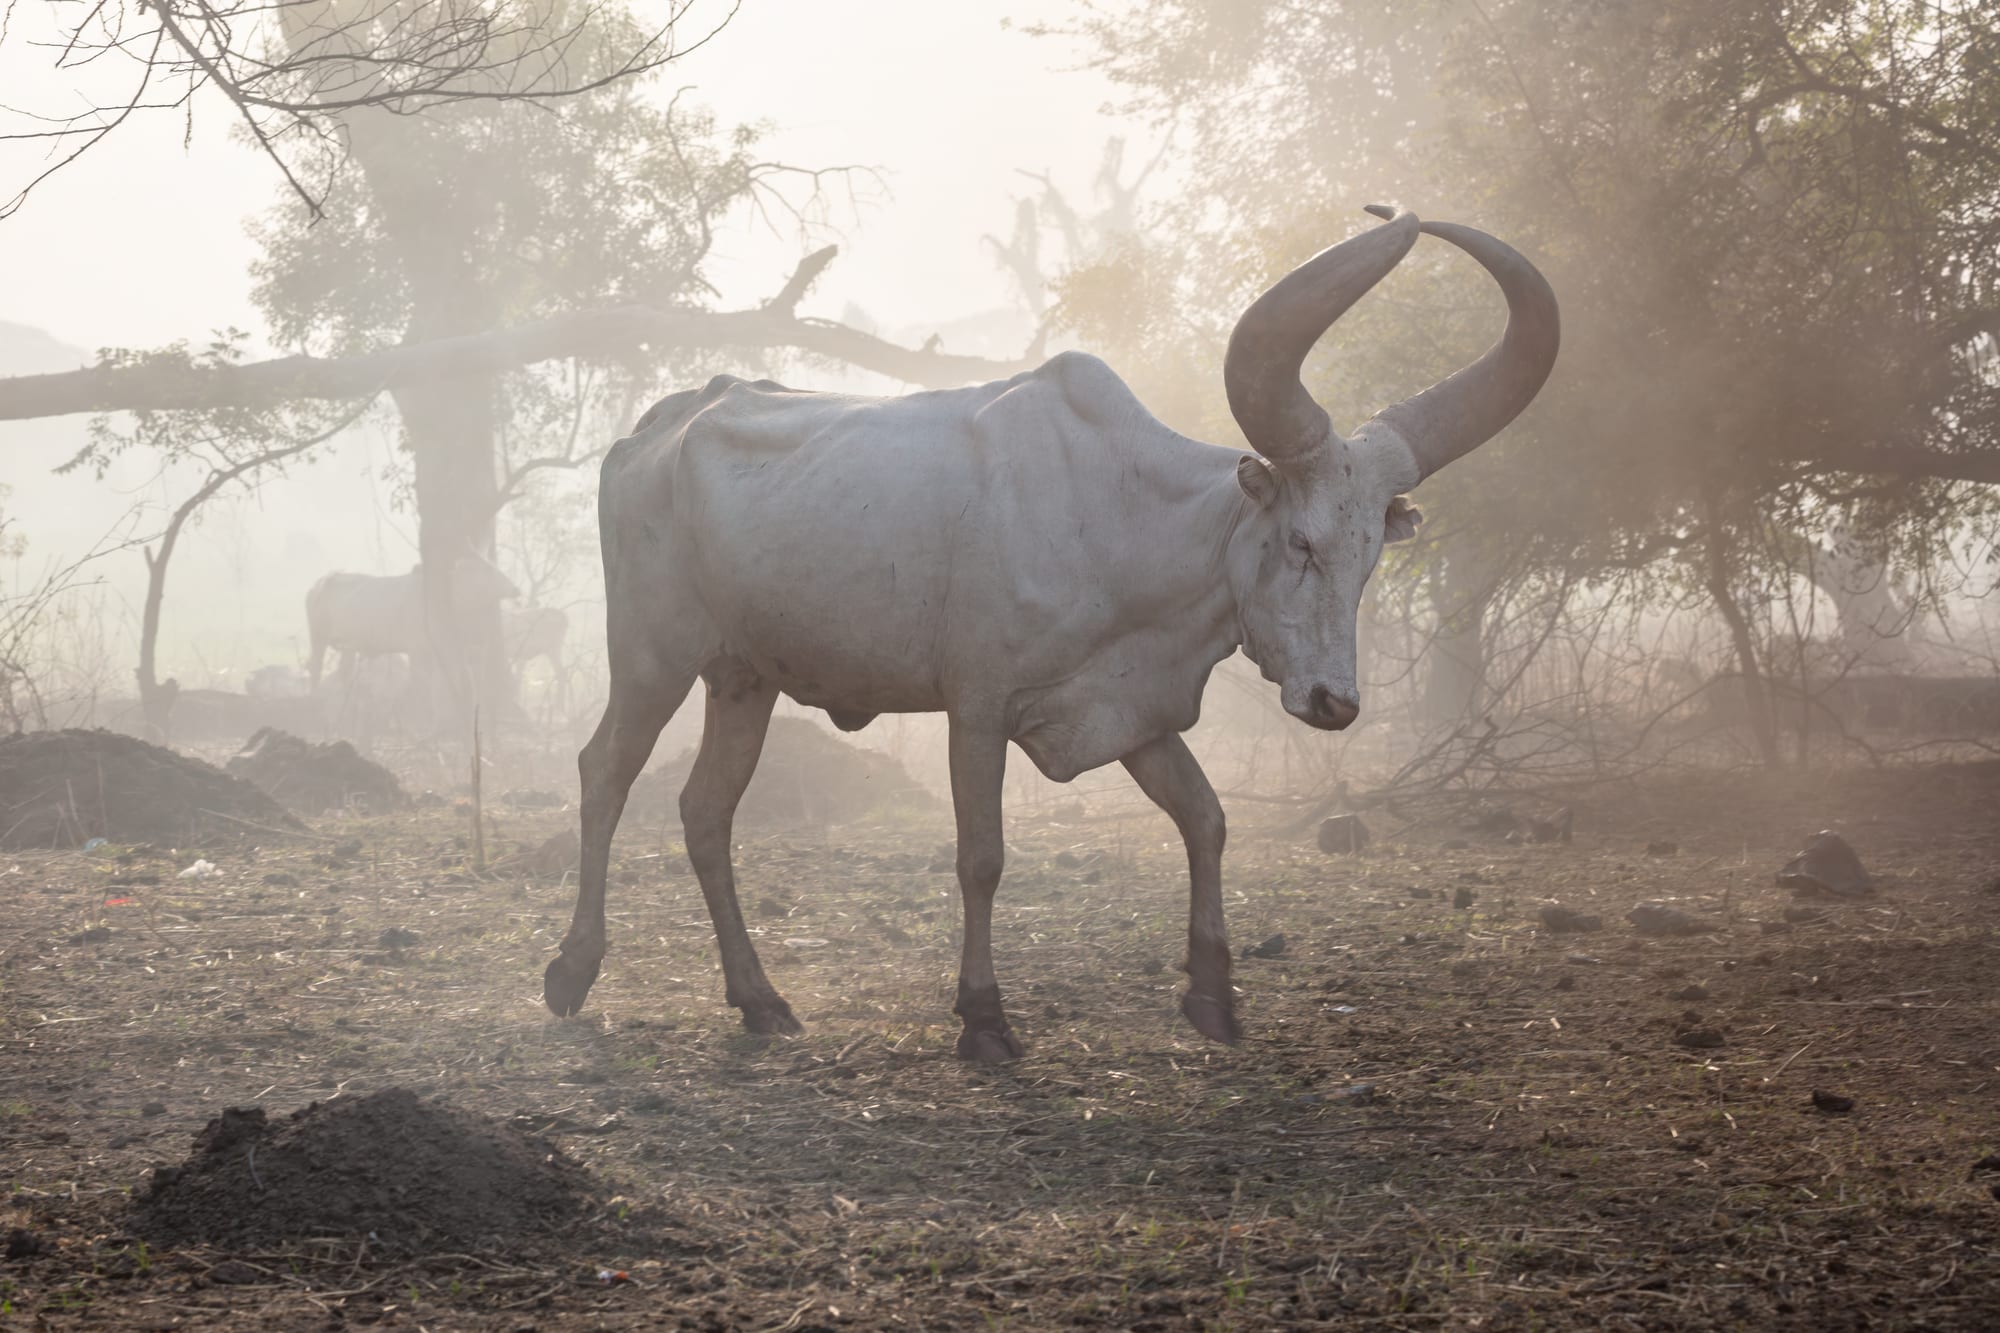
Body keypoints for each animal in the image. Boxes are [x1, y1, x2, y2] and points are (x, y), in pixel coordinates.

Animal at [542, 206, 1559, 1060]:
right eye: (1300, 541)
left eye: (1368, 558)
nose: (1333, 702)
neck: (1117, 513)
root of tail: (654, 430)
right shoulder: (978, 709)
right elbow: (983, 858)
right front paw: (984, 1017)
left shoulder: (1136, 717)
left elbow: (1207, 819)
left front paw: (1214, 990)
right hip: (651, 658)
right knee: (604, 773)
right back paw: (573, 970)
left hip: (743, 678)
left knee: (704, 811)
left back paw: (759, 999)